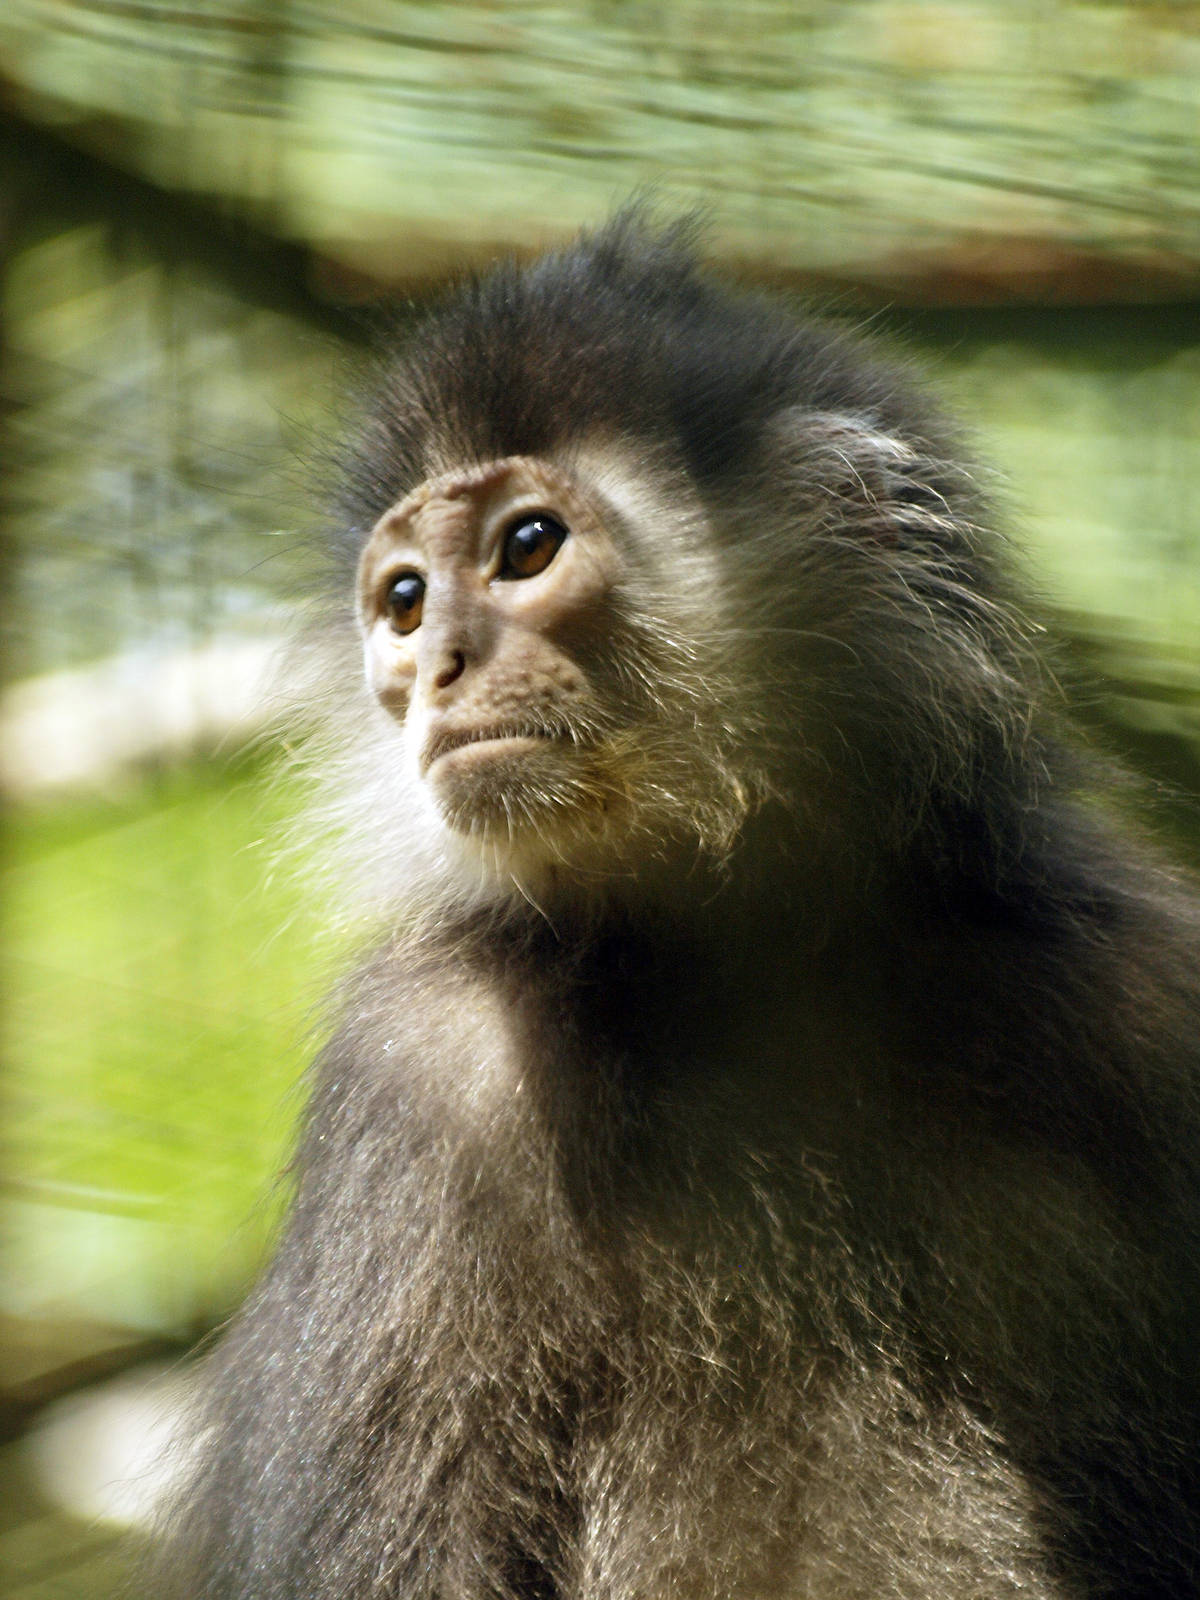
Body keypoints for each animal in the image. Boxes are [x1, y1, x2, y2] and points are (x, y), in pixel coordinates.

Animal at [156, 213, 1200, 1600]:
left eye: (527, 547)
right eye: (405, 600)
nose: (434, 668)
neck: (751, 966)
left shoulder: (1151, 992)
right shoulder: (420, 1060)